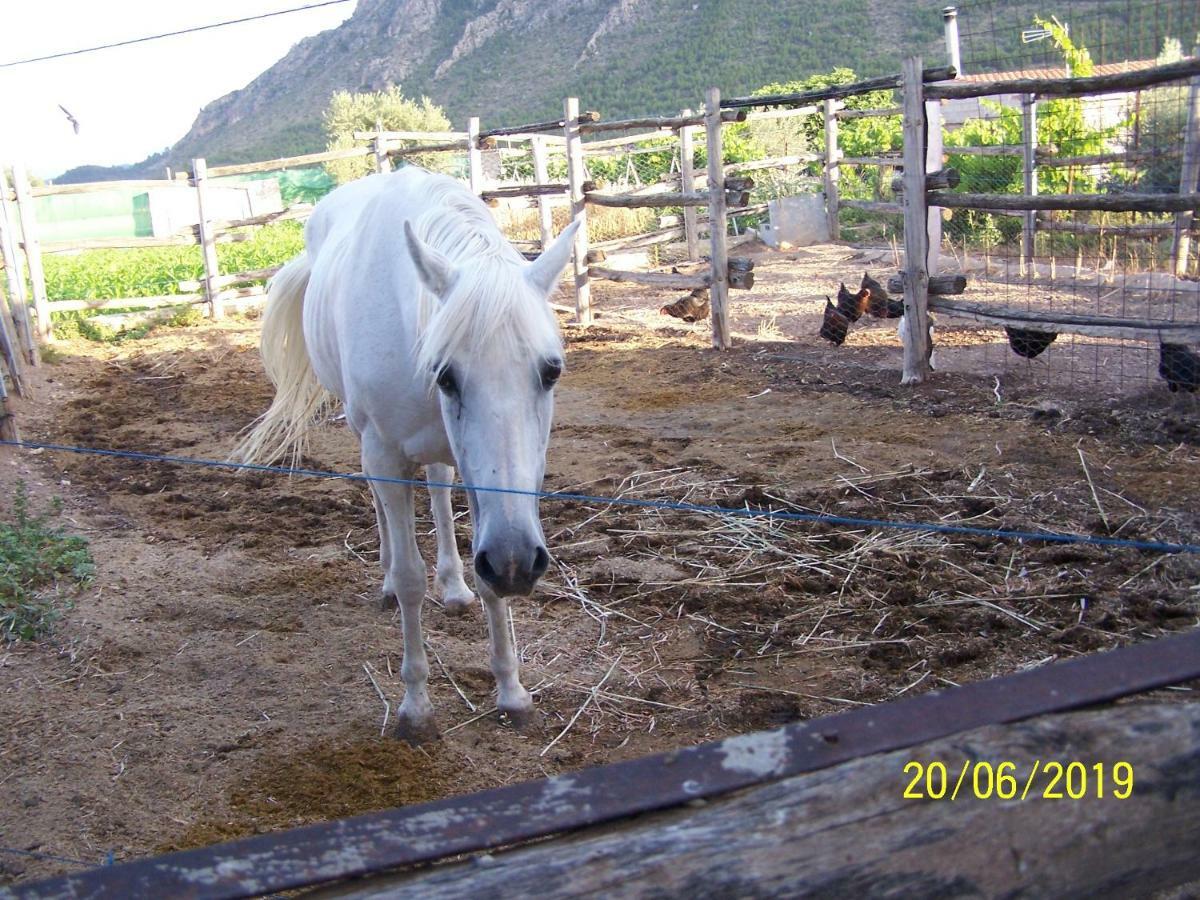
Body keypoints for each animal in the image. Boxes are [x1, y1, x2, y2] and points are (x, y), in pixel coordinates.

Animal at [235, 165, 580, 744]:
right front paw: (416, 706)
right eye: (446, 375)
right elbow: (410, 578)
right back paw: (387, 581)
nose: (517, 563)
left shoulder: (485, 486)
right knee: (383, 508)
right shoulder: (385, 454)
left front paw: (510, 689)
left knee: (438, 486)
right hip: (366, 436)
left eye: (551, 371)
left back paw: (454, 585)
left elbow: (486, 577)